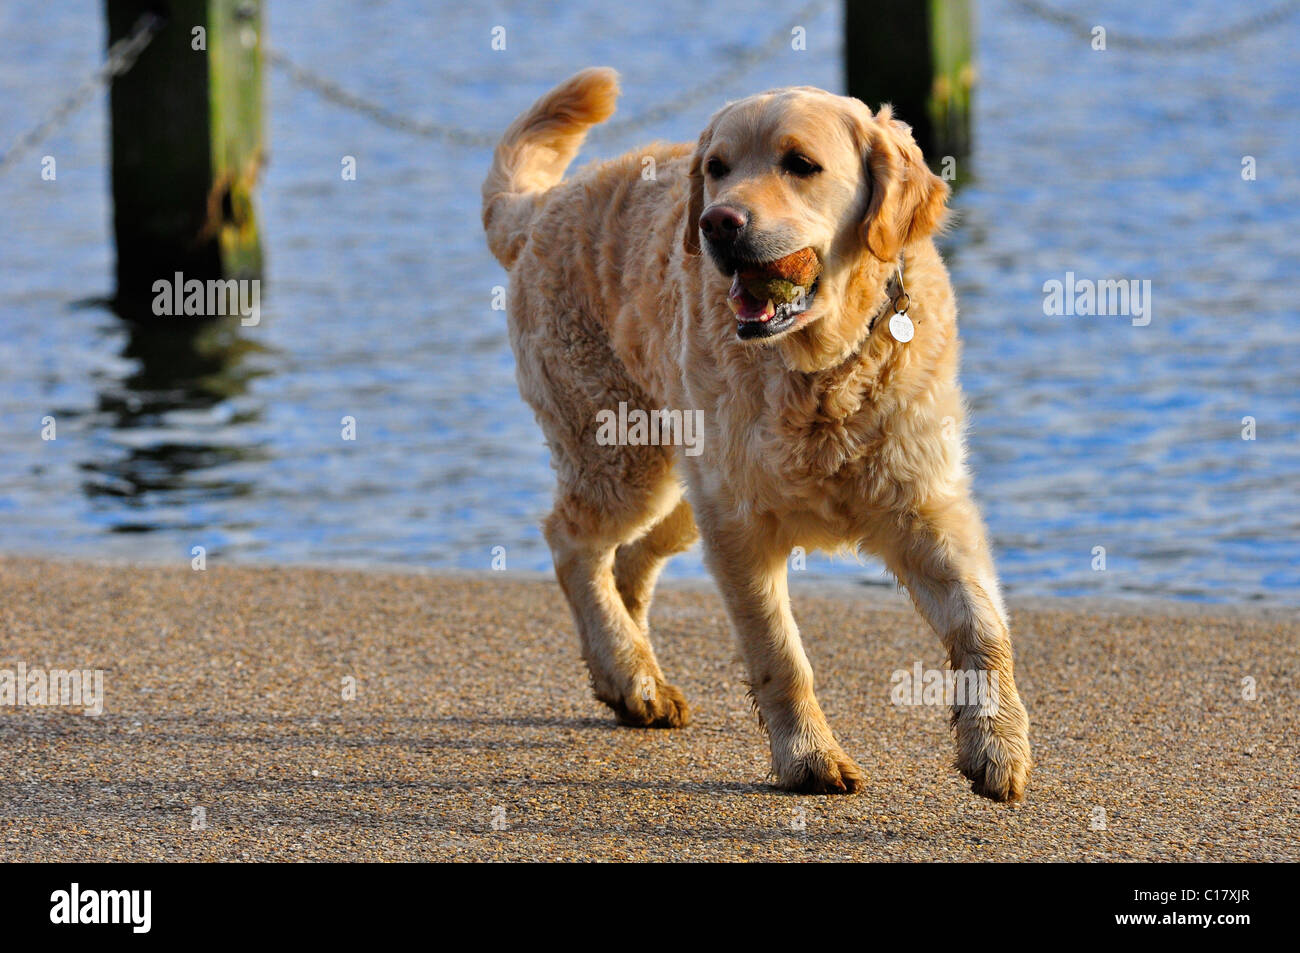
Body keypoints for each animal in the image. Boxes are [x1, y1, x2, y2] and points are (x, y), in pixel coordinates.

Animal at [483, 66, 1029, 800]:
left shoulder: (928, 505)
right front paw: (807, 756)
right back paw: (630, 671)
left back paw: (630, 675)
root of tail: (545, 204)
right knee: (572, 544)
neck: (821, 367)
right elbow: (778, 653)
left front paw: (997, 743)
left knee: (627, 560)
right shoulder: (742, 527)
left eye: (800, 164)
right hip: (627, 457)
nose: (717, 221)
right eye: (717, 168)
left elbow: (982, 626)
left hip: (681, 491)